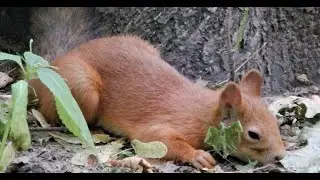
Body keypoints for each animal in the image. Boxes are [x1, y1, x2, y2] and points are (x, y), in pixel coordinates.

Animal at [26, 7, 284, 169]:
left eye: (275, 122)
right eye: (253, 134)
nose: (281, 156)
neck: (205, 113)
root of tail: (50, 66)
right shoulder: (168, 125)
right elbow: (159, 140)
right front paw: (197, 155)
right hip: (80, 87)